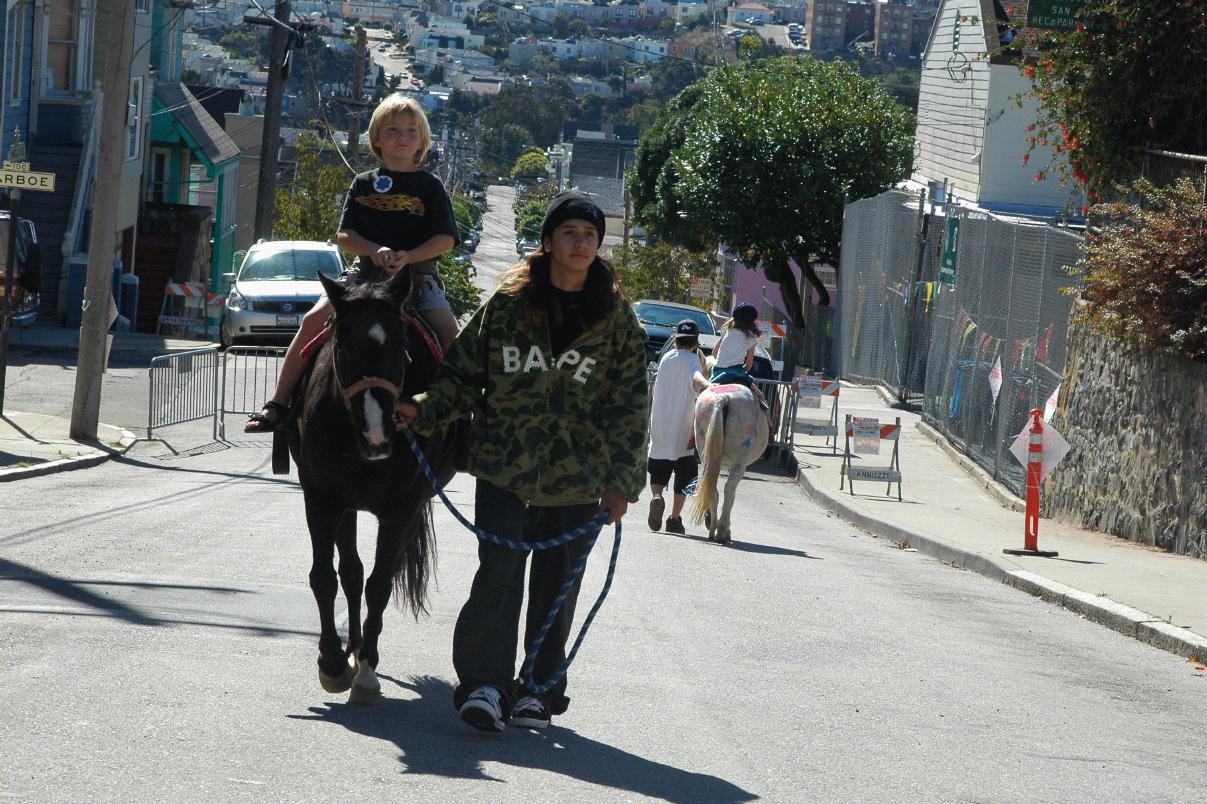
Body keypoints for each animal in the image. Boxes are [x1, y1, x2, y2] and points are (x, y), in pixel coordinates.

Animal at [288, 265, 456, 700]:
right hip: (347, 507)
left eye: (401, 347)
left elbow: (380, 584)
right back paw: (350, 648)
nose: (377, 438)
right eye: (343, 347)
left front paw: (366, 669)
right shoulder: (322, 500)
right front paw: (332, 661)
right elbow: (325, 577)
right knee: (350, 573)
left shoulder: (400, 510)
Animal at [685, 376, 767, 545]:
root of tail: (722, 398)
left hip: (706, 455)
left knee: (712, 488)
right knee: (729, 489)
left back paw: (713, 527)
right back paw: (722, 530)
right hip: (739, 461)